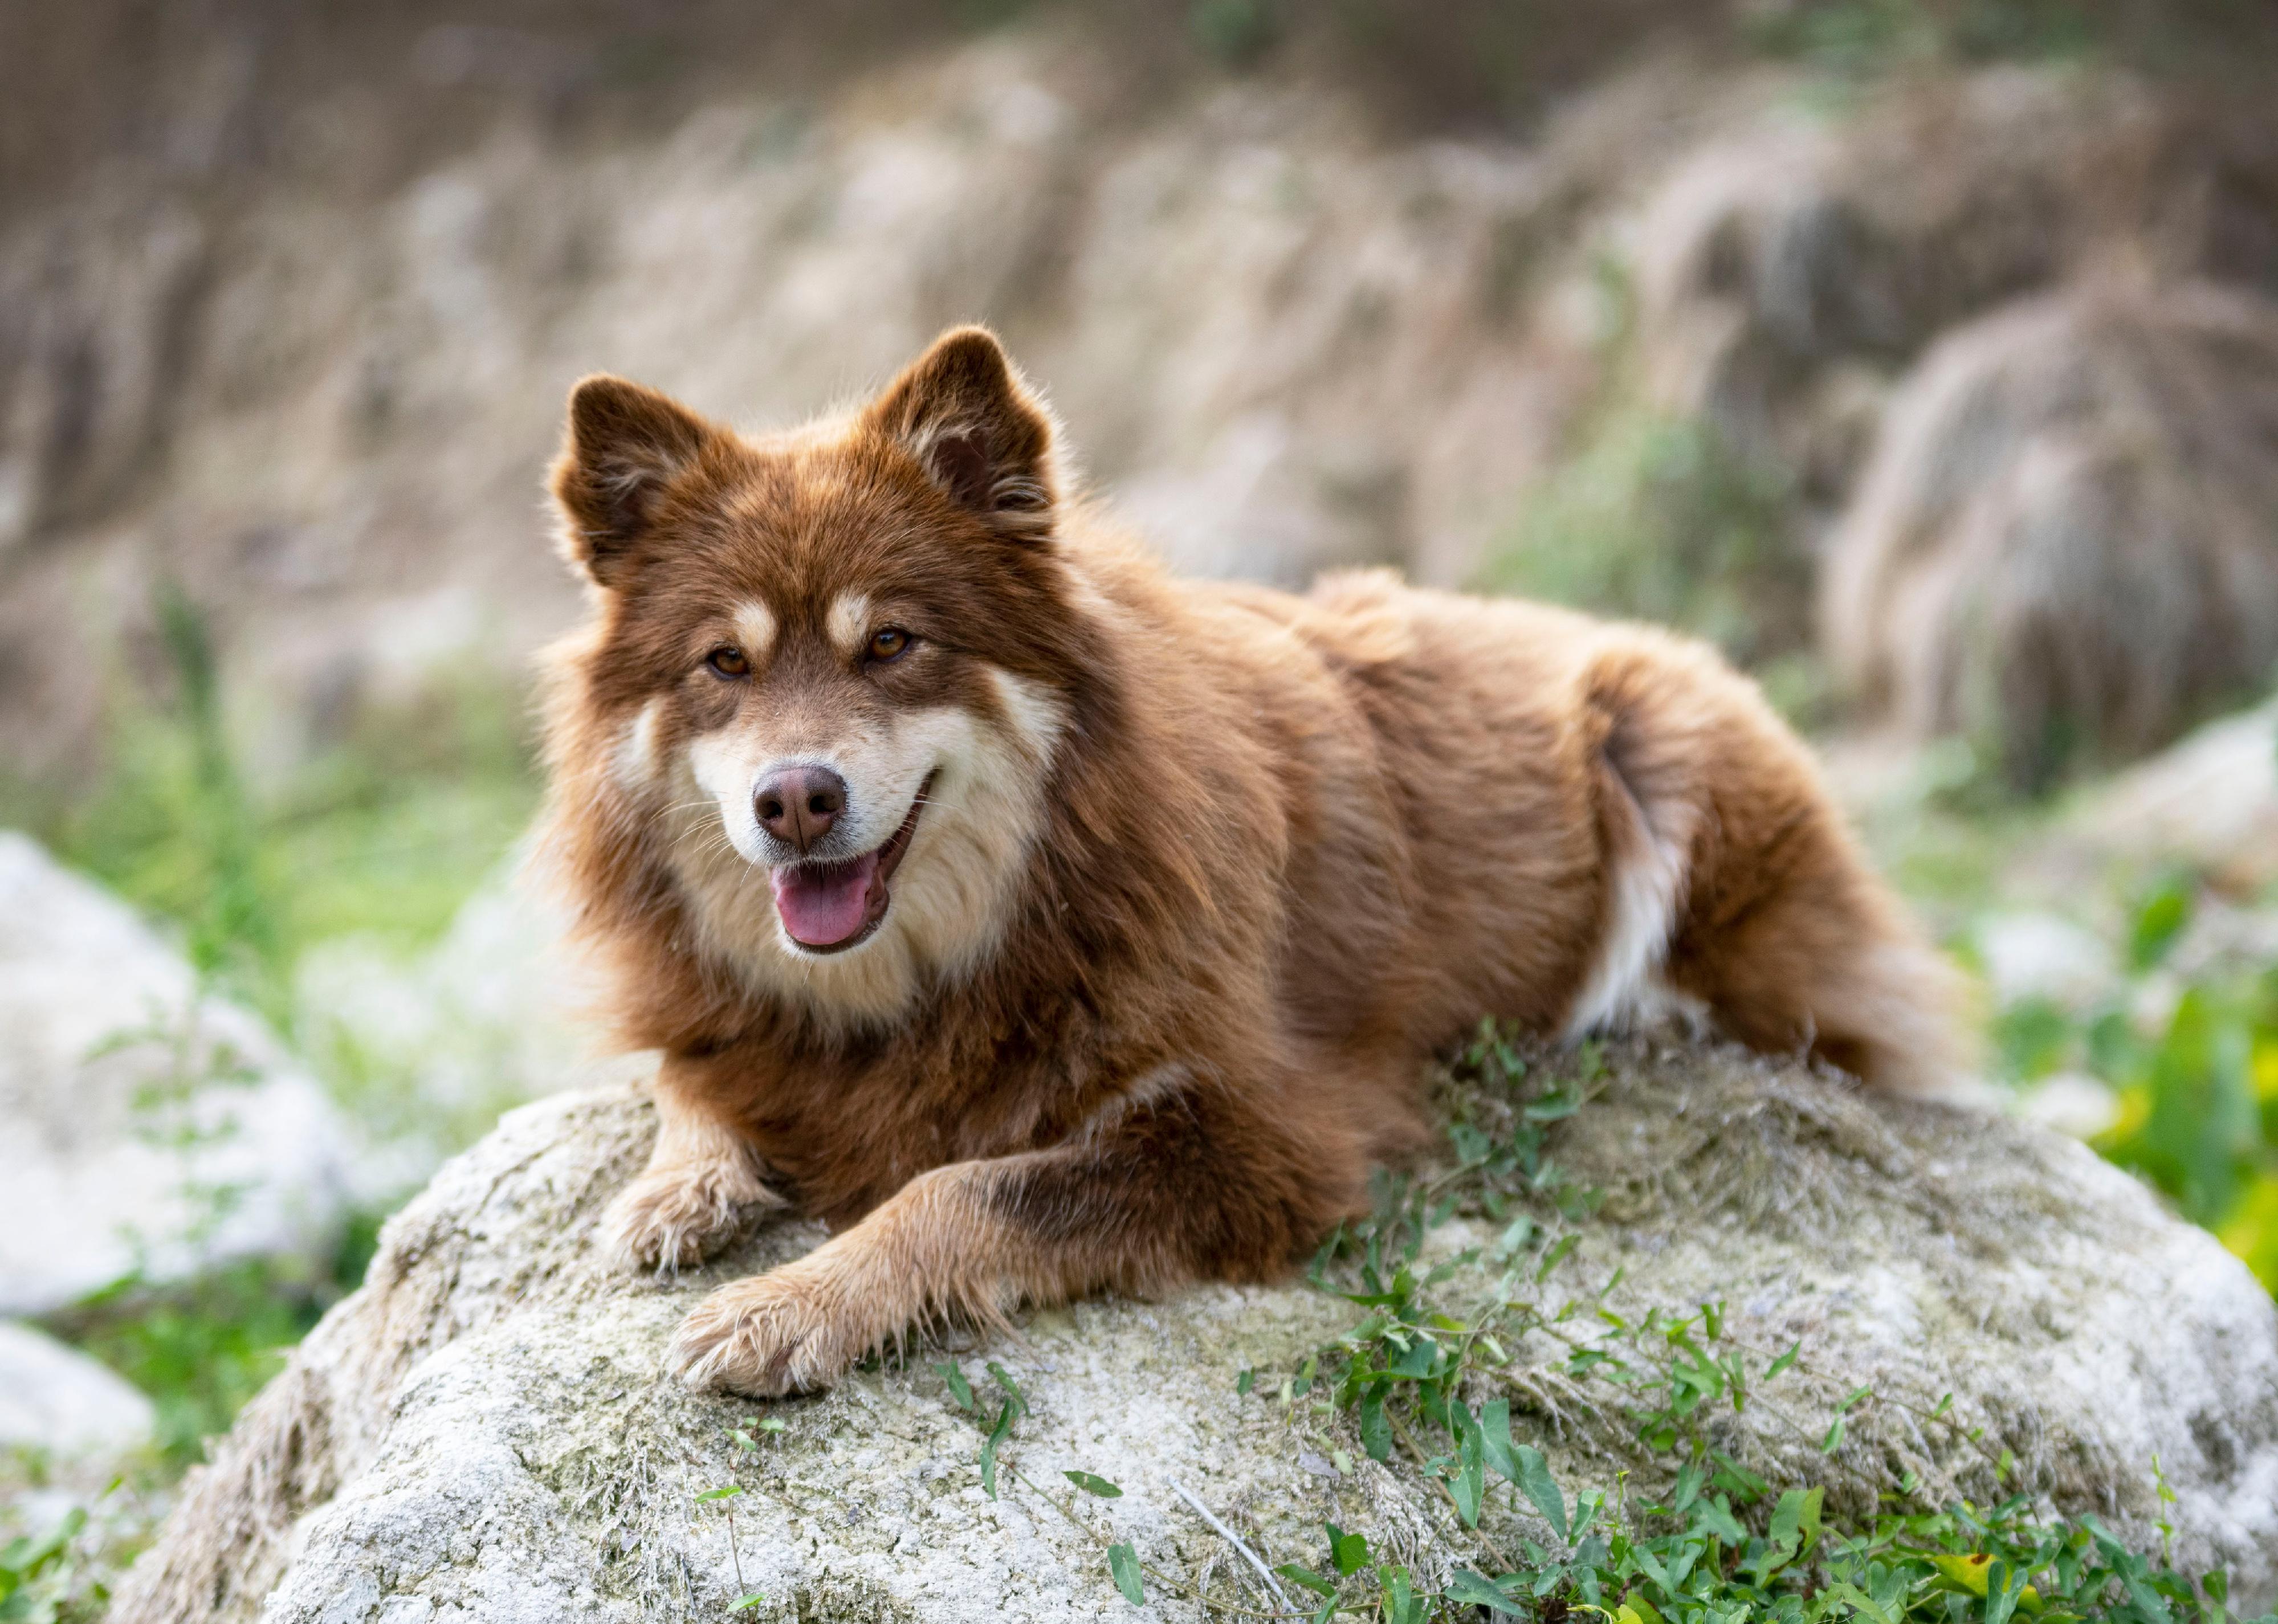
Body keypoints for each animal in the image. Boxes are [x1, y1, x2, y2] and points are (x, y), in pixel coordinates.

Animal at [537, 325, 1959, 1394]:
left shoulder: (1265, 1142)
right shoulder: (725, 1021)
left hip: (1662, 741)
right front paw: (679, 1190)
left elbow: (967, 1189)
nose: (794, 801)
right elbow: (691, 1080)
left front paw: (793, 1304)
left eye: (890, 644)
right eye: (725, 664)